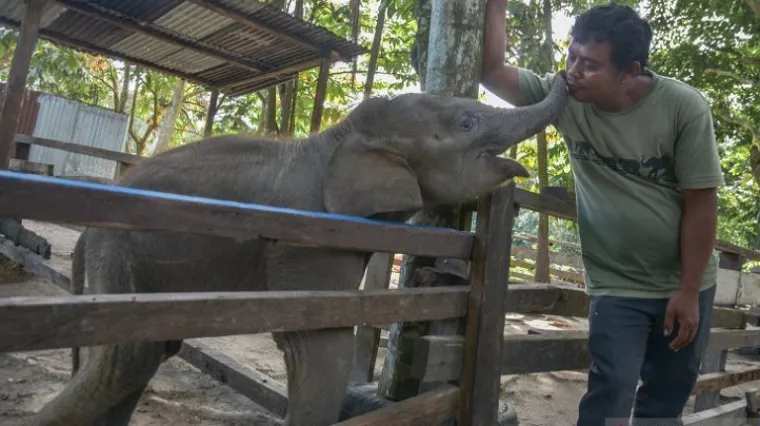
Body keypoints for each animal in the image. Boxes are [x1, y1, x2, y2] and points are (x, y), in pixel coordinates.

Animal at [32, 74, 568, 426]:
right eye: (468, 123)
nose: (565, 73)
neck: (336, 138)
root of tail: (84, 236)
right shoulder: (308, 236)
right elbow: (318, 341)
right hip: (119, 248)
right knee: (129, 358)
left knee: (142, 355)